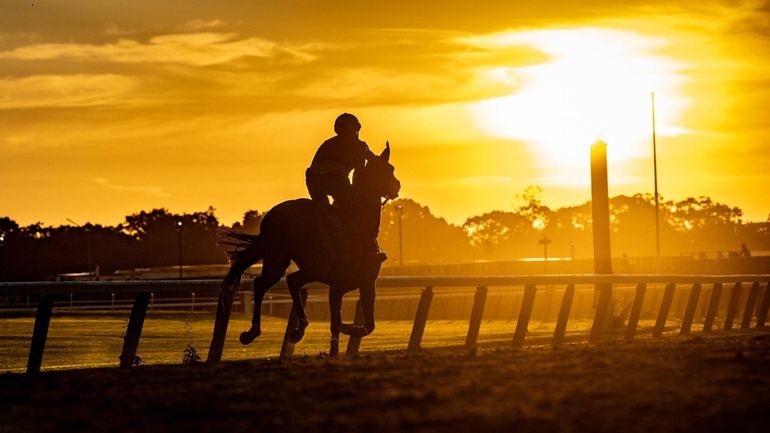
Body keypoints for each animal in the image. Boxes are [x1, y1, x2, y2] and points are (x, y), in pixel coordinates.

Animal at [208, 143, 402, 362]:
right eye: (390, 169)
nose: (397, 186)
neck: (361, 219)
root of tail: (275, 217)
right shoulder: (364, 282)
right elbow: (366, 325)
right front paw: (349, 329)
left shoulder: (340, 288)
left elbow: (343, 323)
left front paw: (336, 345)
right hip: (316, 266)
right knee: (292, 281)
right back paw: (298, 328)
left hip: (276, 259)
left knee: (260, 284)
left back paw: (252, 332)